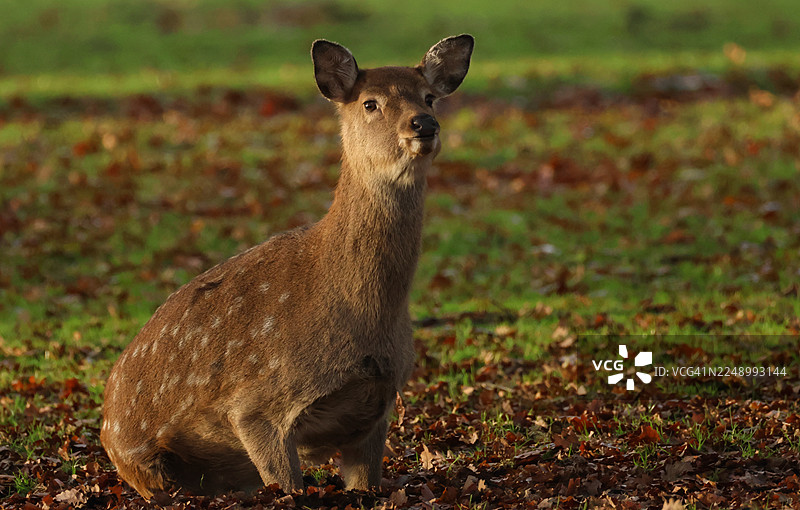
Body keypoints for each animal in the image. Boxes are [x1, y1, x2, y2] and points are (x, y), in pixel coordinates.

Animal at [100, 34, 474, 498]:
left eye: (430, 97)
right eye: (370, 103)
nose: (423, 124)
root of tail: (105, 421)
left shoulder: (377, 408)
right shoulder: (256, 405)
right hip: (144, 462)